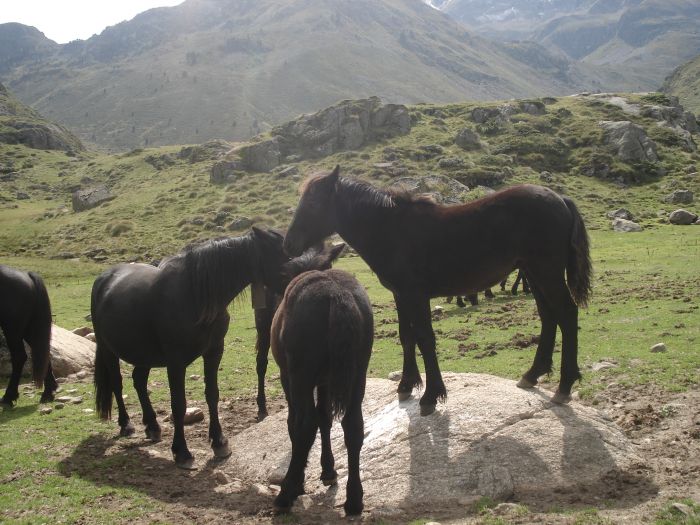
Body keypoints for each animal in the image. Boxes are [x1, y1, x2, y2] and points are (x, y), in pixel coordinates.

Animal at [0, 264, 57, 404]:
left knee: (19, 357)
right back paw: (48, 392)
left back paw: (9, 396)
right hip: (29, 329)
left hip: (12, 330)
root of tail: (27, 275)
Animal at [284, 165, 592, 414]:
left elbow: (425, 338)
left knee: (566, 313)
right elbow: (406, 336)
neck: (393, 230)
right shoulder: (400, 295)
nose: (289, 244)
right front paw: (407, 385)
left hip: (546, 273)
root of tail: (560, 199)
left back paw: (564, 387)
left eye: (314, 202)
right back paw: (532, 374)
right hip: (533, 273)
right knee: (549, 316)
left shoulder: (416, 295)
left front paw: (431, 396)